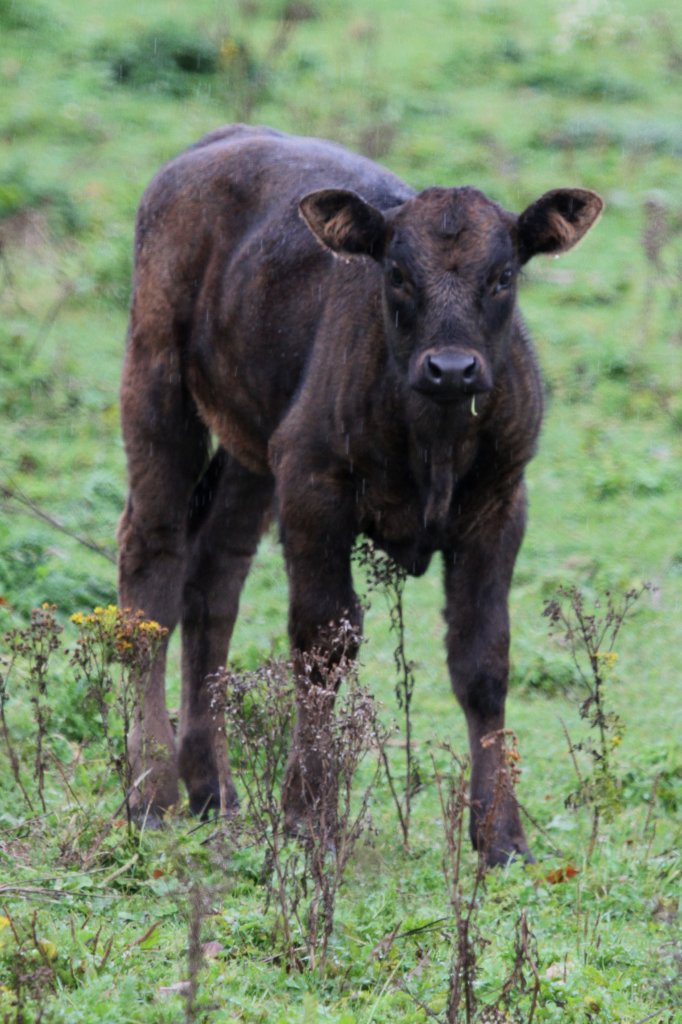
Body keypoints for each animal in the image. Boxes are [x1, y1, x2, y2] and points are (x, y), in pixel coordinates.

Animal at [118, 125, 602, 864]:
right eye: (397, 275)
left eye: (503, 276)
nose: (452, 368)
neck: (432, 438)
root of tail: (220, 141)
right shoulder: (314, 489)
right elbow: (323, 643)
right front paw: (307, 817)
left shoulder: (499, 505)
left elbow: (483, 659)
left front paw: (501, 836)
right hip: (159, 391)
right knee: (152, 571)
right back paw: (150, 794)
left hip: (252, 453)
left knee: (214, 580)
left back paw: (213, 790)